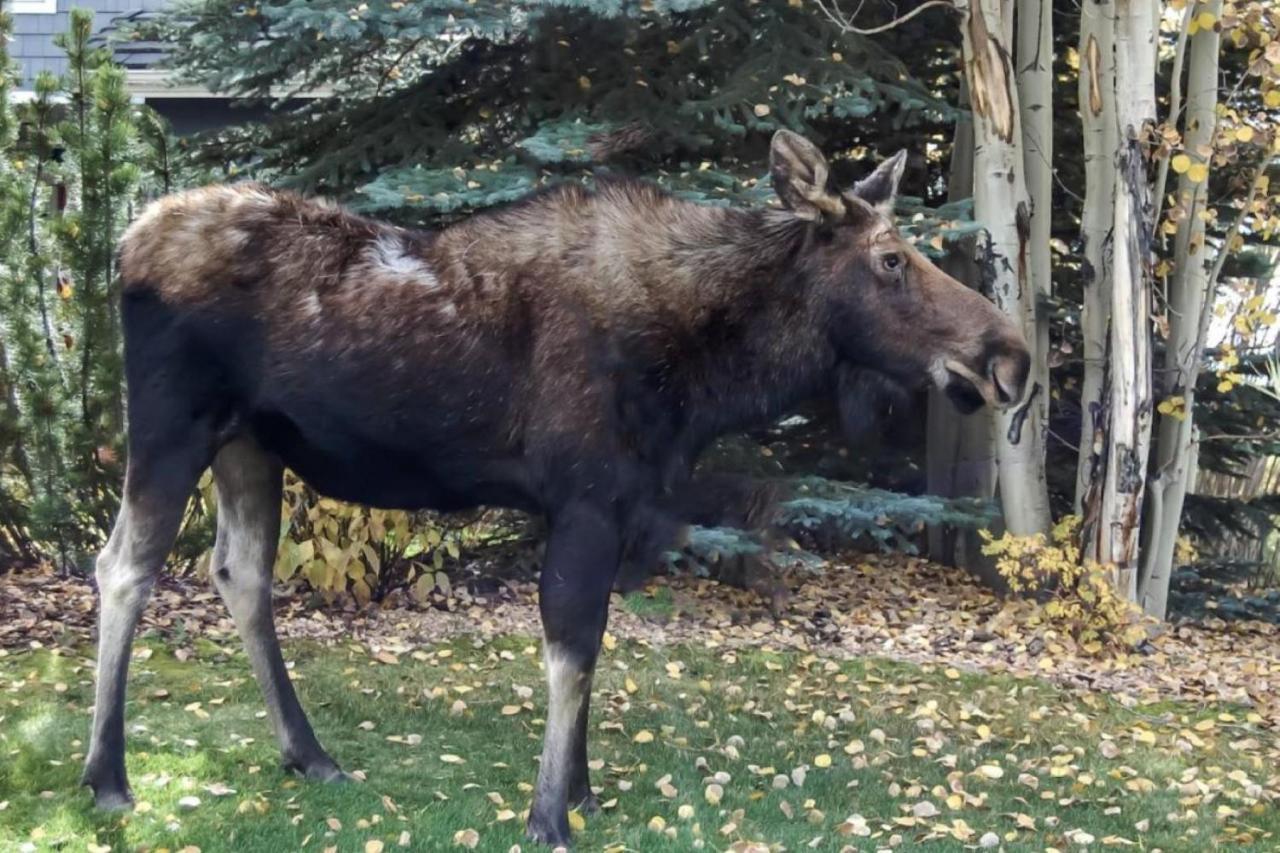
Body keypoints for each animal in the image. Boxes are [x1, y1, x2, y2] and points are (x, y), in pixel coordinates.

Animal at [85, 131, 1029, 845]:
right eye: (891, 260)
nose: (1009, 357)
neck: (709, 377)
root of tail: (124, 244)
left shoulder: (620, 507)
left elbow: (594, 644)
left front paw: (582, 791)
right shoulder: (584, 497)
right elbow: (570, 647)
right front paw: (548, 814)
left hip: (251, 443)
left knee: (240, 573)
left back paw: (308, 753)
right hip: (172, 423)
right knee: (122, 566)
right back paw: (107, 775)